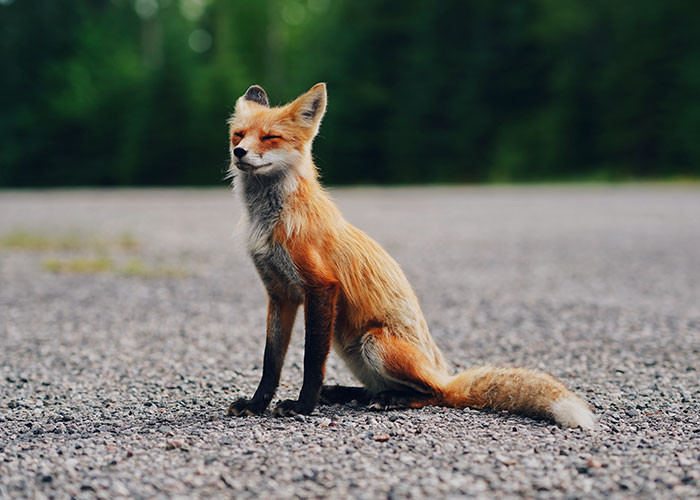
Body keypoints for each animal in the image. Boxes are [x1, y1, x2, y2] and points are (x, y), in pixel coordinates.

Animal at [225, 83, 595, 429]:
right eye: (238, 134)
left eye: (270, 137)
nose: (239, 152)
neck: (271, 222)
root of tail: (443, 372)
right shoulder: (280, 294)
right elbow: (271, 361)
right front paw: (257, 404)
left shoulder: (321, 287)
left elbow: (311, 360)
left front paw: (303, 406)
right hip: (348, 344)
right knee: (381, 388)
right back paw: (349, 393)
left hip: (373, 343)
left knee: (435, 394)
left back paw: (392, 399)